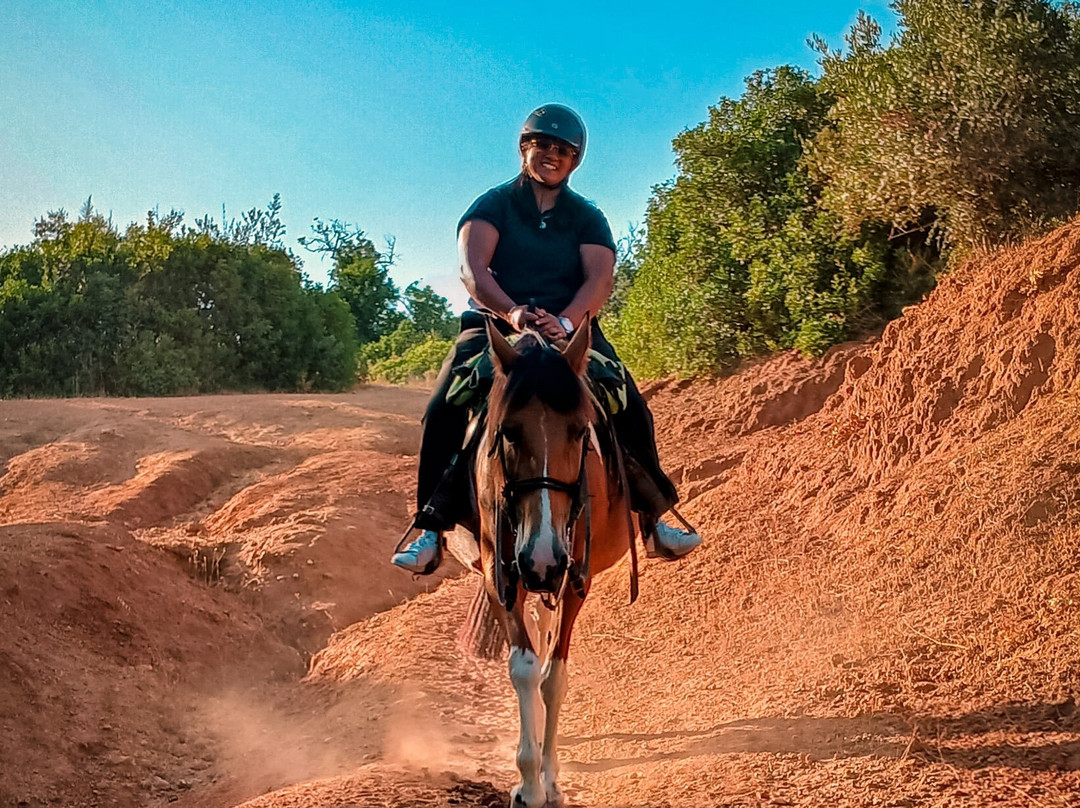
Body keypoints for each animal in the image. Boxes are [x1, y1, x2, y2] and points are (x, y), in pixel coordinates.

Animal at [472, 317, 634, 808]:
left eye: (581, 432)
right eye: (508, 432)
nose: (542, 559)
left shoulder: (575, 578)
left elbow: (553, 677)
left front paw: (550, 777)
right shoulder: (501, 575)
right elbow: (525, 670)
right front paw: (527, 783)